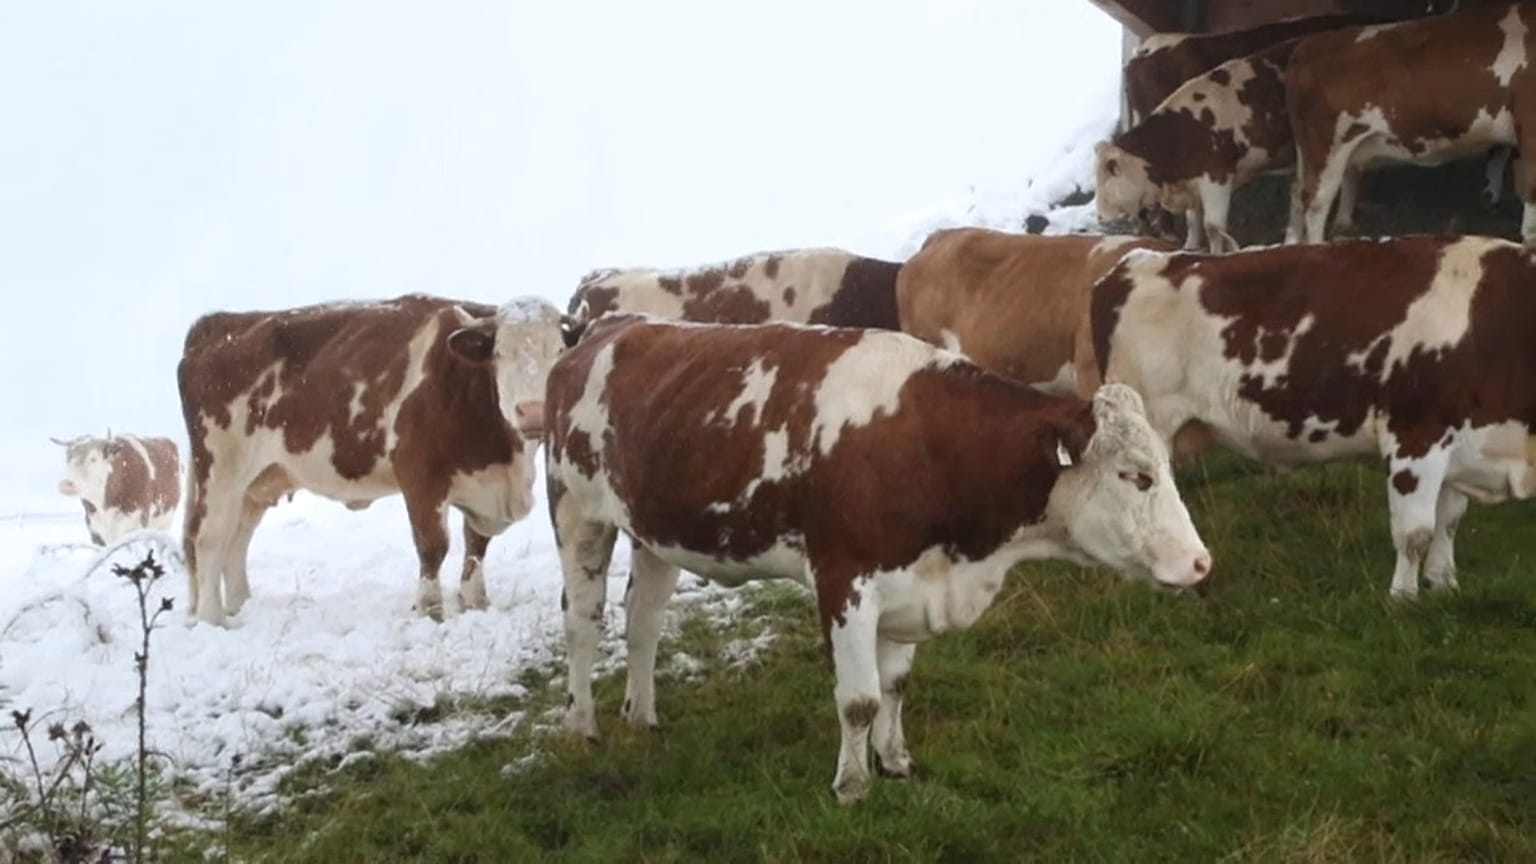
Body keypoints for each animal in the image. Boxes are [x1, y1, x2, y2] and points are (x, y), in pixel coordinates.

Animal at [51, 432, 181, 546]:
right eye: (68, 459)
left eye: (93, 459)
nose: (67, 484)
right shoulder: (94, 530)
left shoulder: (138, 524)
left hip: (165, 523)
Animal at [176, 293, 564, 626]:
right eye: (500, 353)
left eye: (559, 351)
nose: (532, 411)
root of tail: (218, 323)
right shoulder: (419, 474)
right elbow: (433, 546)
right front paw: (430, 610)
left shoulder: (488, 486)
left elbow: (477, 544)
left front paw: (475, 602)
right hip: (222, 469)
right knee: (210, 538)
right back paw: (213, 619)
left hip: (259, 480)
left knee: (238, 537)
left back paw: (240, 605)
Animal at [545, 313, 1212, 804]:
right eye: (1137, 475)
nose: (1200, 563)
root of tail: (608, 326)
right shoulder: (846, 581)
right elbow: (859, 698)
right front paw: (852, 785)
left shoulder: (912, 584)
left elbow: (894, 686)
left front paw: (895, 761)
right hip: (578, 513)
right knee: (582, 623)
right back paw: (582, 728)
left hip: (652, 532)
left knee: (644, 621)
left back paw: (643, 718)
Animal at [1088, 234, 1536, 600]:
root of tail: (1135, 263)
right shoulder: (1415, 435)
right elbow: (1415, 532)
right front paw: (1403, 600)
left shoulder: (1463, 440)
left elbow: (1449, 521)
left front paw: (1444, 586)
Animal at [1097, 38, 1362, 253]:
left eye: (1111, 174)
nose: (1099, 216)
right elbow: (1194, 218)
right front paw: (1191, 245)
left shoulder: (1218, 176)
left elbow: (1213, 226)